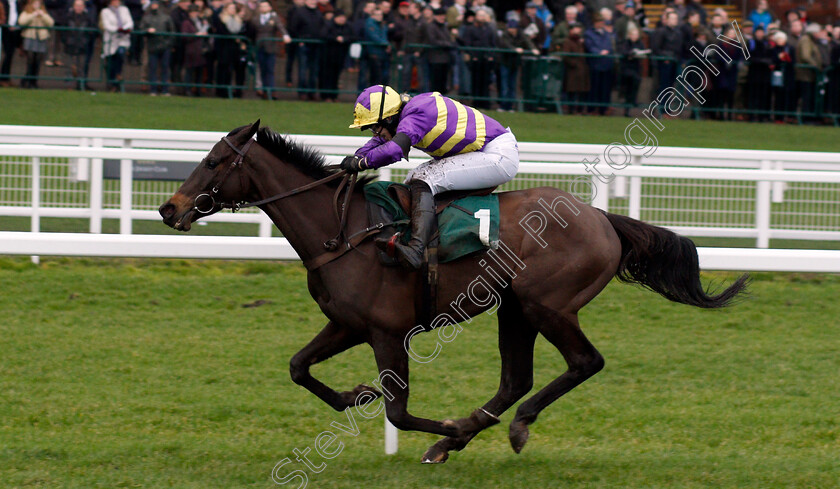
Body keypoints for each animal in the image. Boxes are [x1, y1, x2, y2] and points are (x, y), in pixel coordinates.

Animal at [159, 121, 748, 462]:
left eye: (213, 161)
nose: (169, 208)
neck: (344, 231)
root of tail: (601, 217)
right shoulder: (346, 323)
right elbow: (299, 368)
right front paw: (358, 395)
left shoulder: (387, 331)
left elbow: (397, 411)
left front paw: (428, 421)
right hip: (514, 309)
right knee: (515, 379)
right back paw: (462, 434)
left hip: (548, 304)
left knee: (584, 362)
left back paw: (497, 429)